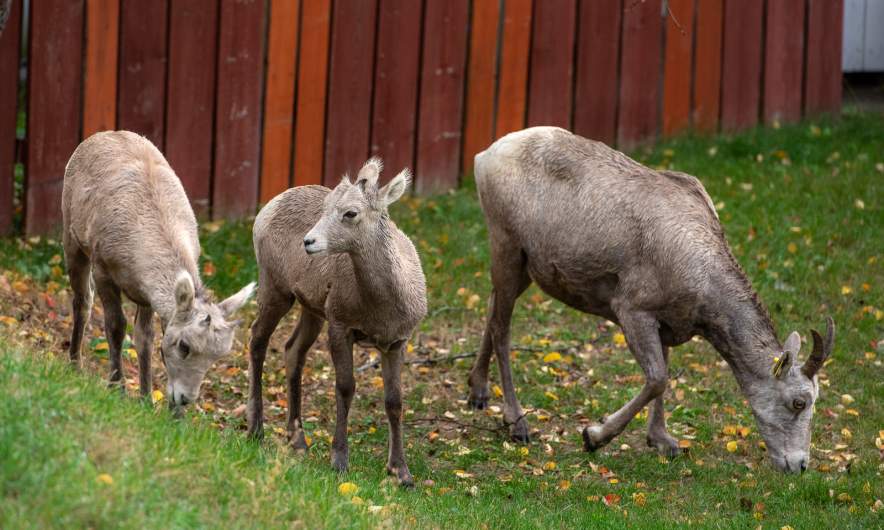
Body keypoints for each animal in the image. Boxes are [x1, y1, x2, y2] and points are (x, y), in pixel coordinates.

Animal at [62, 131, 255, 407]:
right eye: (184, 346)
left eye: (217, 356)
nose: (185, 399)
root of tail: (105, 134)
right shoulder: (103, 270)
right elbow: (116, 326)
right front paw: (117, 388)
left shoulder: (146, 295)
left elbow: (145, 338)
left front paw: (147, 400)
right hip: (72, 237)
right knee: (83, 300)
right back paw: (75, 365)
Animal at [249, 158, 427, 486]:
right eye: (326, 207)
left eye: (350, 213)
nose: (309, 241)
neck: (382, 306)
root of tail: (268, 207)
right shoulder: (341, 326)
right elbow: (345, 387)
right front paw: (339, 461)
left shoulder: (396, 341)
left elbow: (394, 401)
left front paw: (401, 473)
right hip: (275, 289)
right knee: (257, 341)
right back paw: (256, 430)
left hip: (311, 310)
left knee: (293, 350)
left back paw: (298, 441)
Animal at [467, 126, 835, 473]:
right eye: (798, 402)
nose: (799, 465)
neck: (699, 270)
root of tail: (484, 157)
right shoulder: (633, 312)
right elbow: (658, 378)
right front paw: (593, 437)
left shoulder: (667, 324)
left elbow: (664, 372)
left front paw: (662, 441)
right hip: (507, 247)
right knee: (502, 328)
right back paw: (518, 424)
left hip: (527, 268)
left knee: (492, 308)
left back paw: (477, 393)